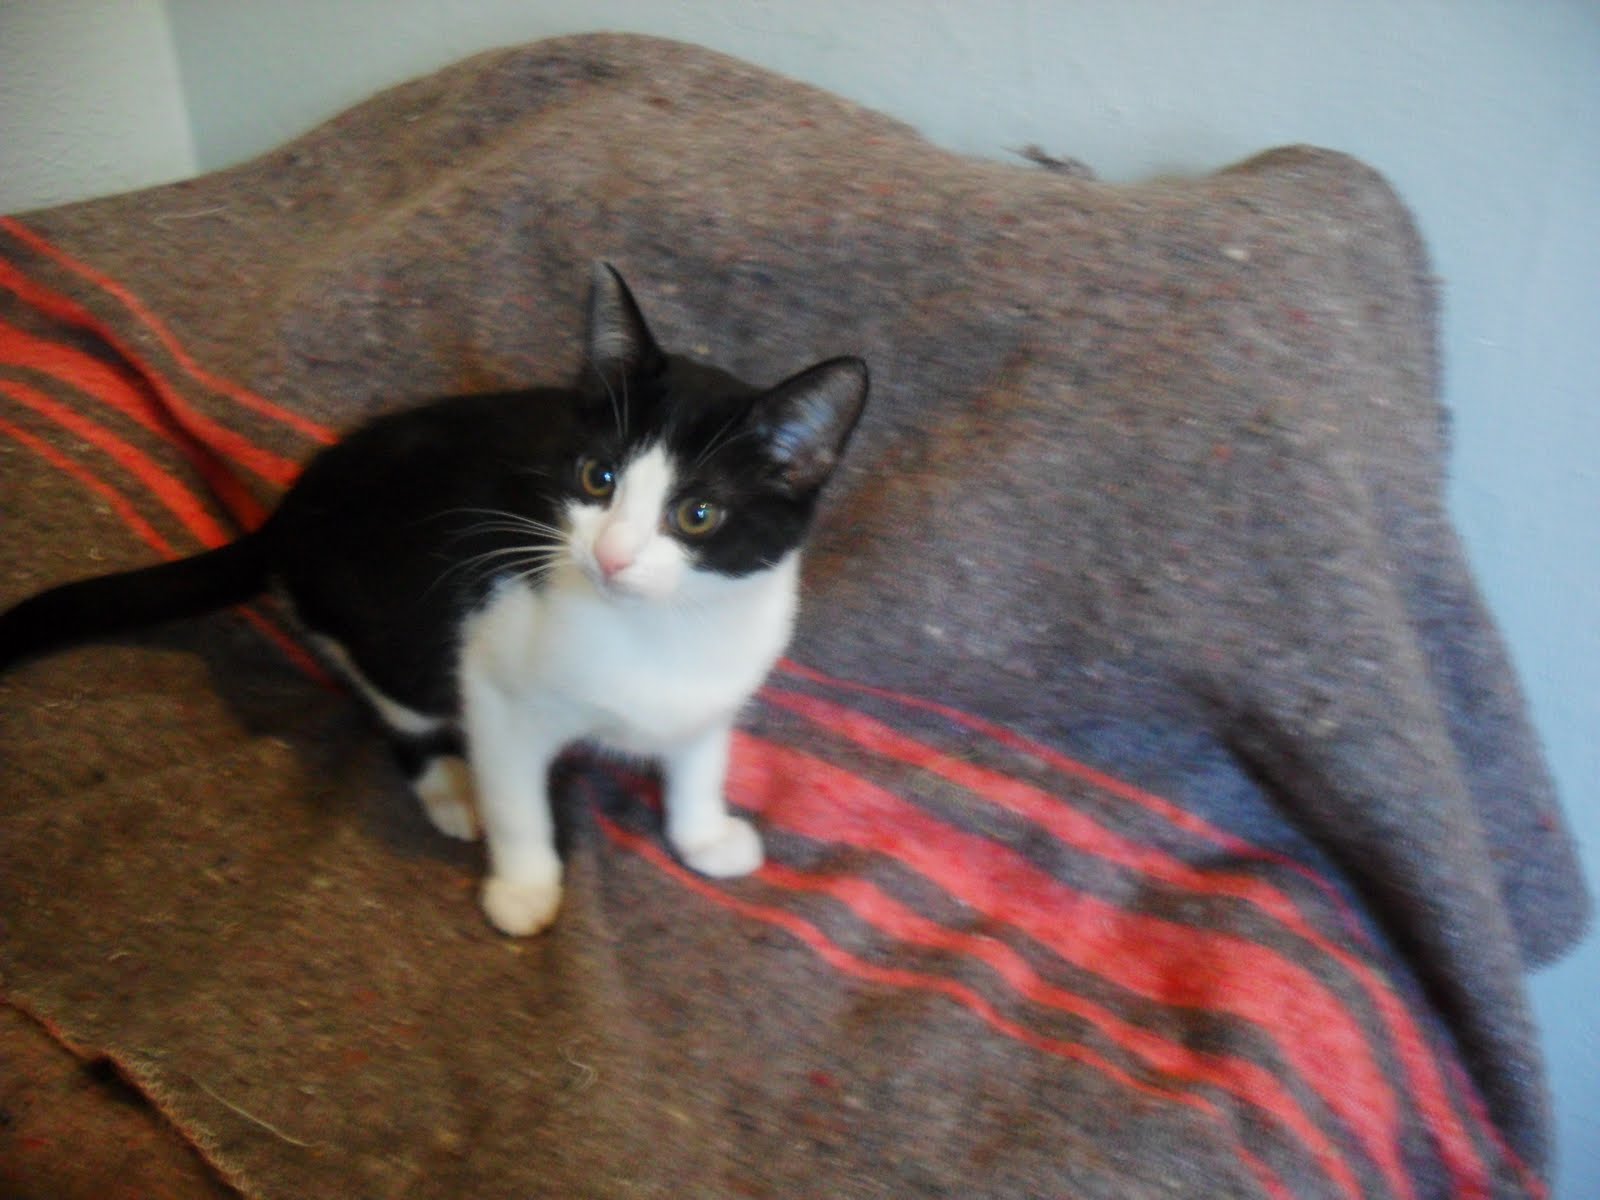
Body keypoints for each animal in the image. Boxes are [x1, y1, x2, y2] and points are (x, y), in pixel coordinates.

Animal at [0, 263, 869, 936]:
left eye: (698, 516)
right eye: (598, 478)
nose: (611, 555)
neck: (658, 630)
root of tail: (285, 512)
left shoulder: (716, 683)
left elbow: (697, 756)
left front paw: (703, 834)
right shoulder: (493, 676)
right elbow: (518, 794)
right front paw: (523, 887)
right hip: (386, 625)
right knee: (394, 702)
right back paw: (449, 786)